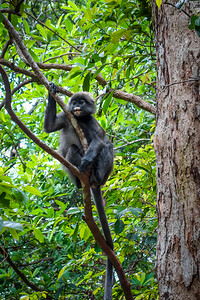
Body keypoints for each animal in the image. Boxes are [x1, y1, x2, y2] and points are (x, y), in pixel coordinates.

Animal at [43, 82, 114, 300]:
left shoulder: (90, 121)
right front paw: (52, 89)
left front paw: (87, 160)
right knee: (73, 149)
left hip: (103, 174)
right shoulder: (68, 117)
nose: (76, 106)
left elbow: (98, 141)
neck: (80, 120)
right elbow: (49, 128)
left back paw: (93, 173)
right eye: (74, 102)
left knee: (107, 144)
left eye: (82, 102)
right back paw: (79, 178)